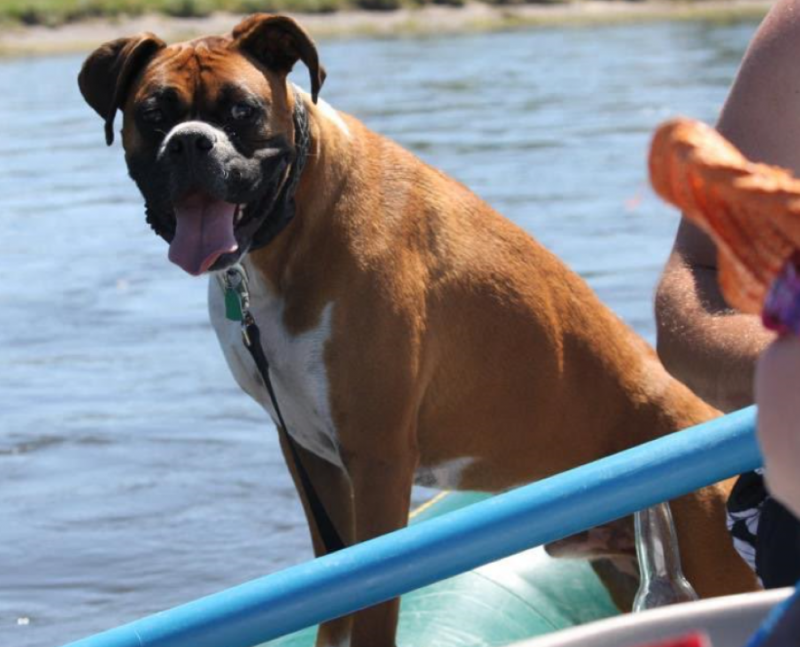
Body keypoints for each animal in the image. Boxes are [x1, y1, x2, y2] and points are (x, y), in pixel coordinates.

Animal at [78, 15, 760, 647]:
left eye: (241, 111)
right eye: (153, 113)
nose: (191, 142)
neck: (293, 219)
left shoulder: (379, 461)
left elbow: (372, 604)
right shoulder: (307, 455)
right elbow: (332, 595)